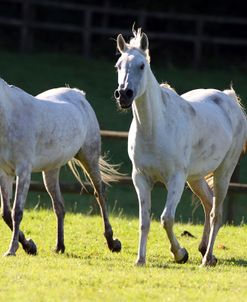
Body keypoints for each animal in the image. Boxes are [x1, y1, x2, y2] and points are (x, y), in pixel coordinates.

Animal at [0, 79, 121, 256]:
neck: (9, 117)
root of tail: (79, 94)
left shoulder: (23, 172)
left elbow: (17, 212)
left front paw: (12, 250)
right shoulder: (4, 173)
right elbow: (6, 213)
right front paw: (29, 246)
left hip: (89, 158)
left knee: (100, 194)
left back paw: (112, 243)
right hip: (51, 170)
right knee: (59, 207)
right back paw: (60, 246)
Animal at [114, 27, 247, 264]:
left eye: (142, 65)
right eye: (118, 66)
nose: (124, 95)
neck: (154, 130)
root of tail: (229, 99)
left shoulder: (175, 179)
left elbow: (166, 218)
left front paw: (180, 254)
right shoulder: (140, 178)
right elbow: (144, 221)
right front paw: (140, 259)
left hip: (223, 172)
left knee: (216, 213)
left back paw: (206, 259)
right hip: (195, 177)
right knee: (208, 203)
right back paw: (204, 250)